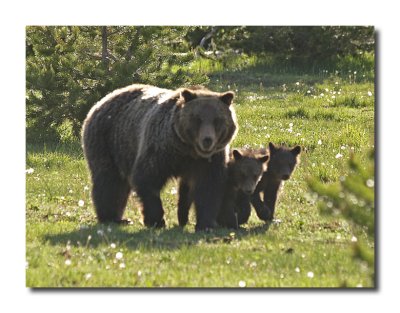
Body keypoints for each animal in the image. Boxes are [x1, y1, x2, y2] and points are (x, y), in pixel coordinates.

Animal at [81, 83, 238, 229]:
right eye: (197, 119)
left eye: (217, 120)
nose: (207, 140)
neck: (186, 150)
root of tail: (102, 100)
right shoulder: (161, 150)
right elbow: (147, 179)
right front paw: (157, 220)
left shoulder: (209, 160)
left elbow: (208, 187)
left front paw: (205, 223)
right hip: (109, 141)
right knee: (109, 181)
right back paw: (112, 218)